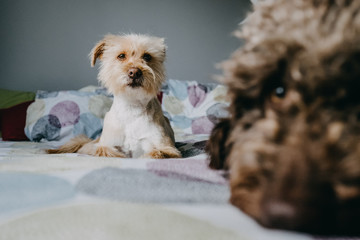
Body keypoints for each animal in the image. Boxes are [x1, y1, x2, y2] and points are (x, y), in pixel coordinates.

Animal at [48, 32, 180, 158]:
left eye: (147, 56)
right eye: (121, 56)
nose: (134, 72)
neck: (131, 108)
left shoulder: (167, 149)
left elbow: (153, 154)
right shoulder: (105, 146)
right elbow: (110, 152)